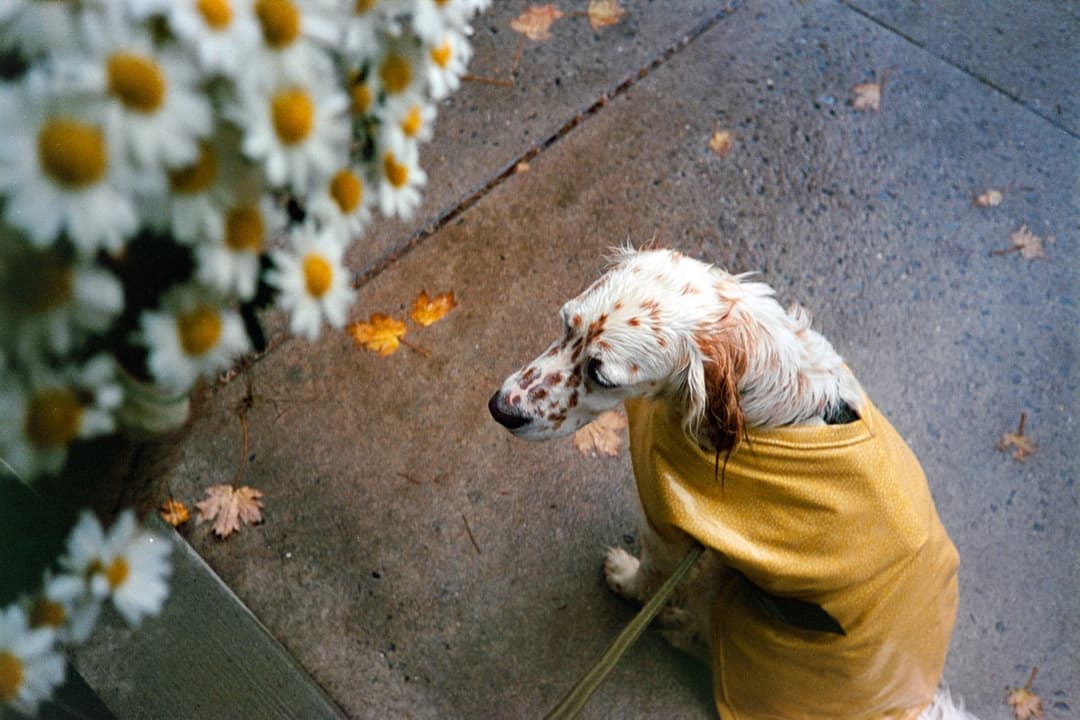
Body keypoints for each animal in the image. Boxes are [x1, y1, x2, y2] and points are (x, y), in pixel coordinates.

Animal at [492, 249, 980, 720]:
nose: (500, 408)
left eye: (601, 375)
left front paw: (626, 578)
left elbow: (649, 576)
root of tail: (903, 706)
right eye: (564, 324)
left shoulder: (668, 530)